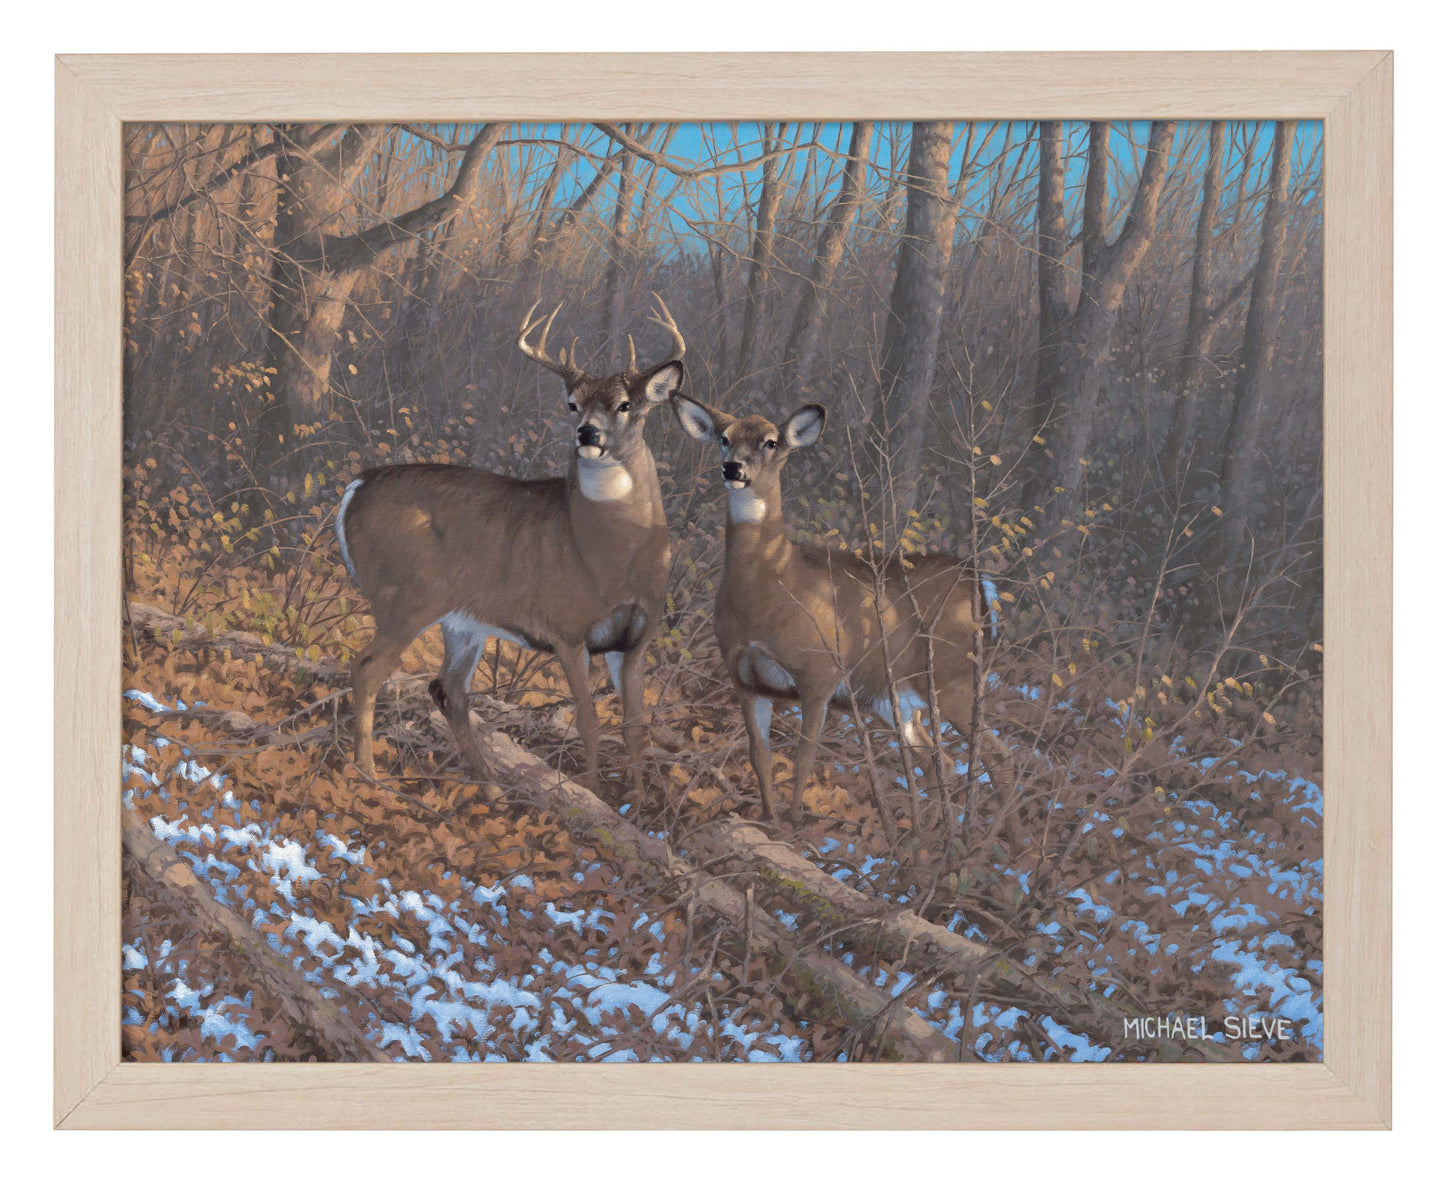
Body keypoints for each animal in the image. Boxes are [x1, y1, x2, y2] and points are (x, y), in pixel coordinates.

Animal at [336, 296, 686, 800]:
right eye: (572, 404)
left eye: (625, 405)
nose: (587, 434)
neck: (615, 560)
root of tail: (356, 487)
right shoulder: (566, 628)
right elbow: (588, 720)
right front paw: (591, 794)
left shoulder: (635, 638)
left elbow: (634, 726)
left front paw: (635, 803)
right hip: (406, 596)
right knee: (367, 667)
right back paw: (370, 776)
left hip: (462, 619)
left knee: (447, 688)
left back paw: (491, 787)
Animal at [670, 394, 1001, 824]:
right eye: (724, 438)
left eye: (771, 442)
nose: (733, 467)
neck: (772, 585)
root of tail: (978, 583)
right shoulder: (744, 679)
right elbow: (760, 756)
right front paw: (768, 819)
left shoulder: (819, 673)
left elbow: (803, 759)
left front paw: (794, 824)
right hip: (892, 698)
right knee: (937, 761)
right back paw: (923, 833)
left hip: (952, 676)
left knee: (995, 755)